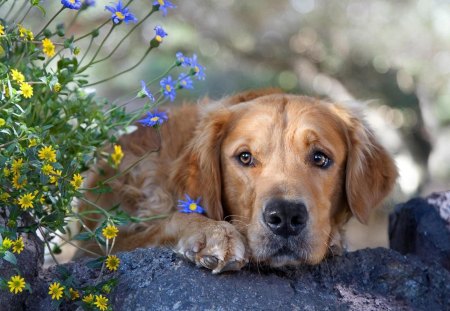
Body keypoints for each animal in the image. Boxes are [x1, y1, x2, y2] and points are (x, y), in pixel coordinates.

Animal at [81, 89, 398, 274]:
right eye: (245, 157)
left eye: (320, 158)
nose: (285, 217)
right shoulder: (104, 244)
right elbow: (169, 220)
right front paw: (212, 233)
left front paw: (334, 239)